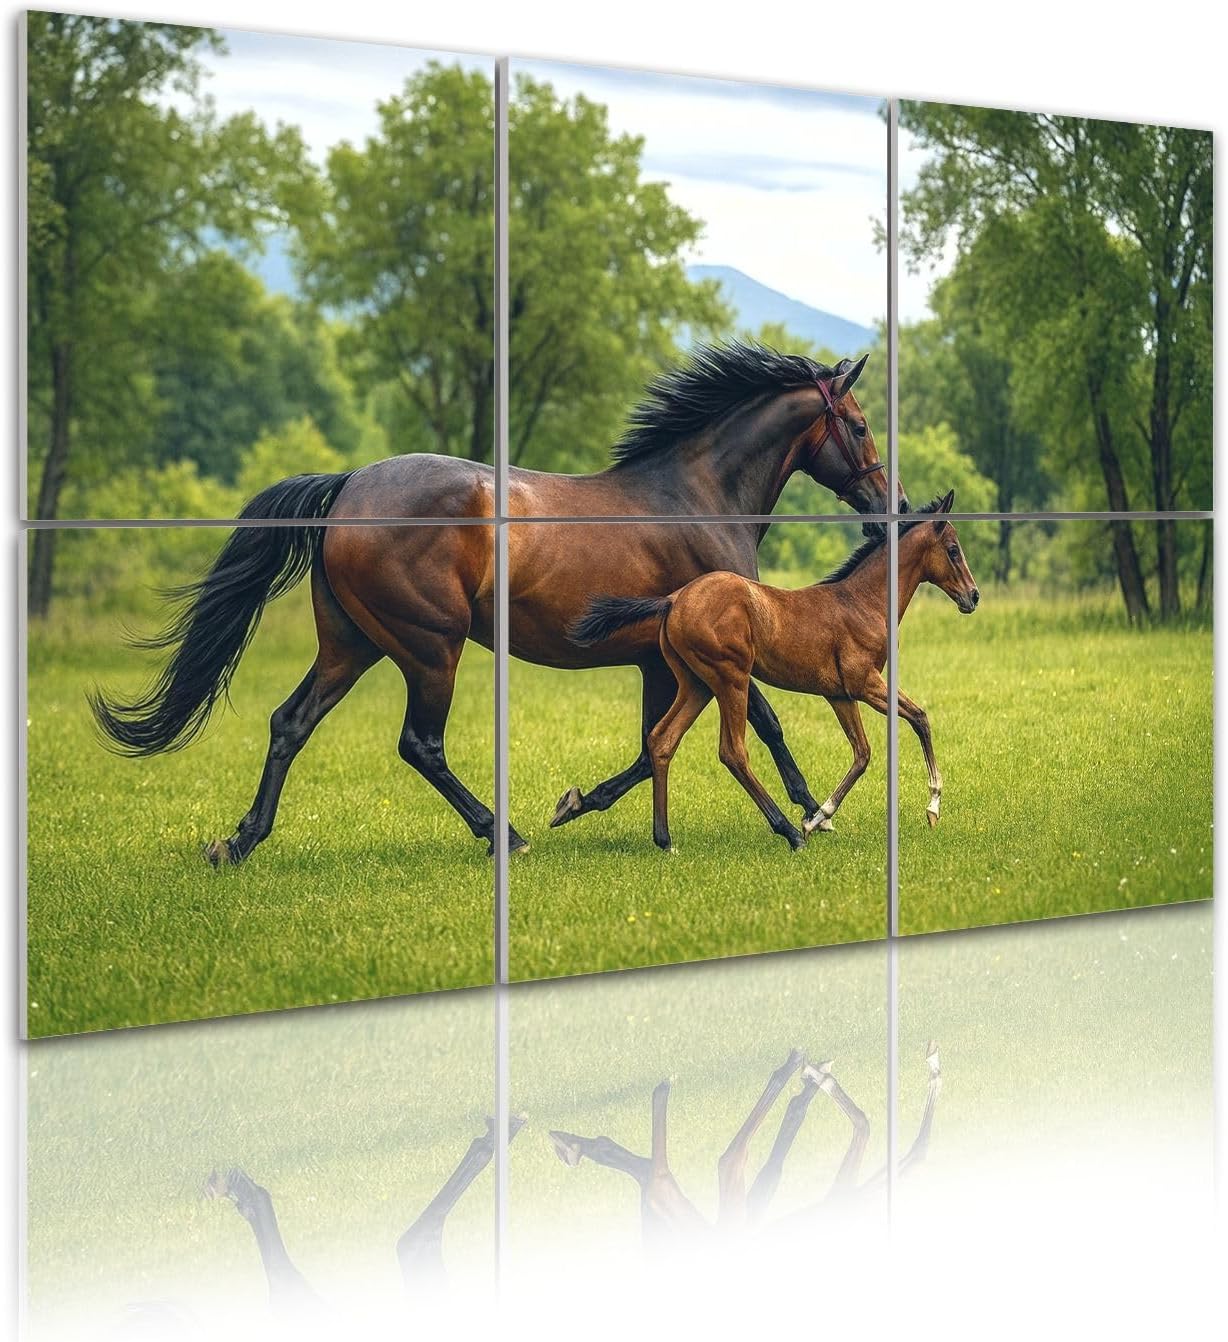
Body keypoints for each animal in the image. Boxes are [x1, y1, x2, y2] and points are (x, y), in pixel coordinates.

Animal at [91, 342, 901, 864]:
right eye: (861, 425)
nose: (886, 509)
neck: (699, 495)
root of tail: (348, 486)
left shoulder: (659, 662)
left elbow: (651, 747)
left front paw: (580, 803)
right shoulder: (717, 649)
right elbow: (761, 723)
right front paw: (810, 814)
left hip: (351, 643)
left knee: (290, 723)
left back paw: (240, 841)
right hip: (429, 647)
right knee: (419, 744)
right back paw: (501, 833)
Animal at [569, 492, 978, 853]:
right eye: (953, 550)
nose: (973, 596)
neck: (862, 602)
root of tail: (673, 600)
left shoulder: (840, 694)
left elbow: (862, 753)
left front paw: (820, 816)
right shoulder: (866, 684)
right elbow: (919, 718)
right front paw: (932, 806)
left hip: (697, 684)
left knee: (661, 740)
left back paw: (665, 839)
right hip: (731, 680)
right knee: (732, 752)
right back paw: (788, 833)